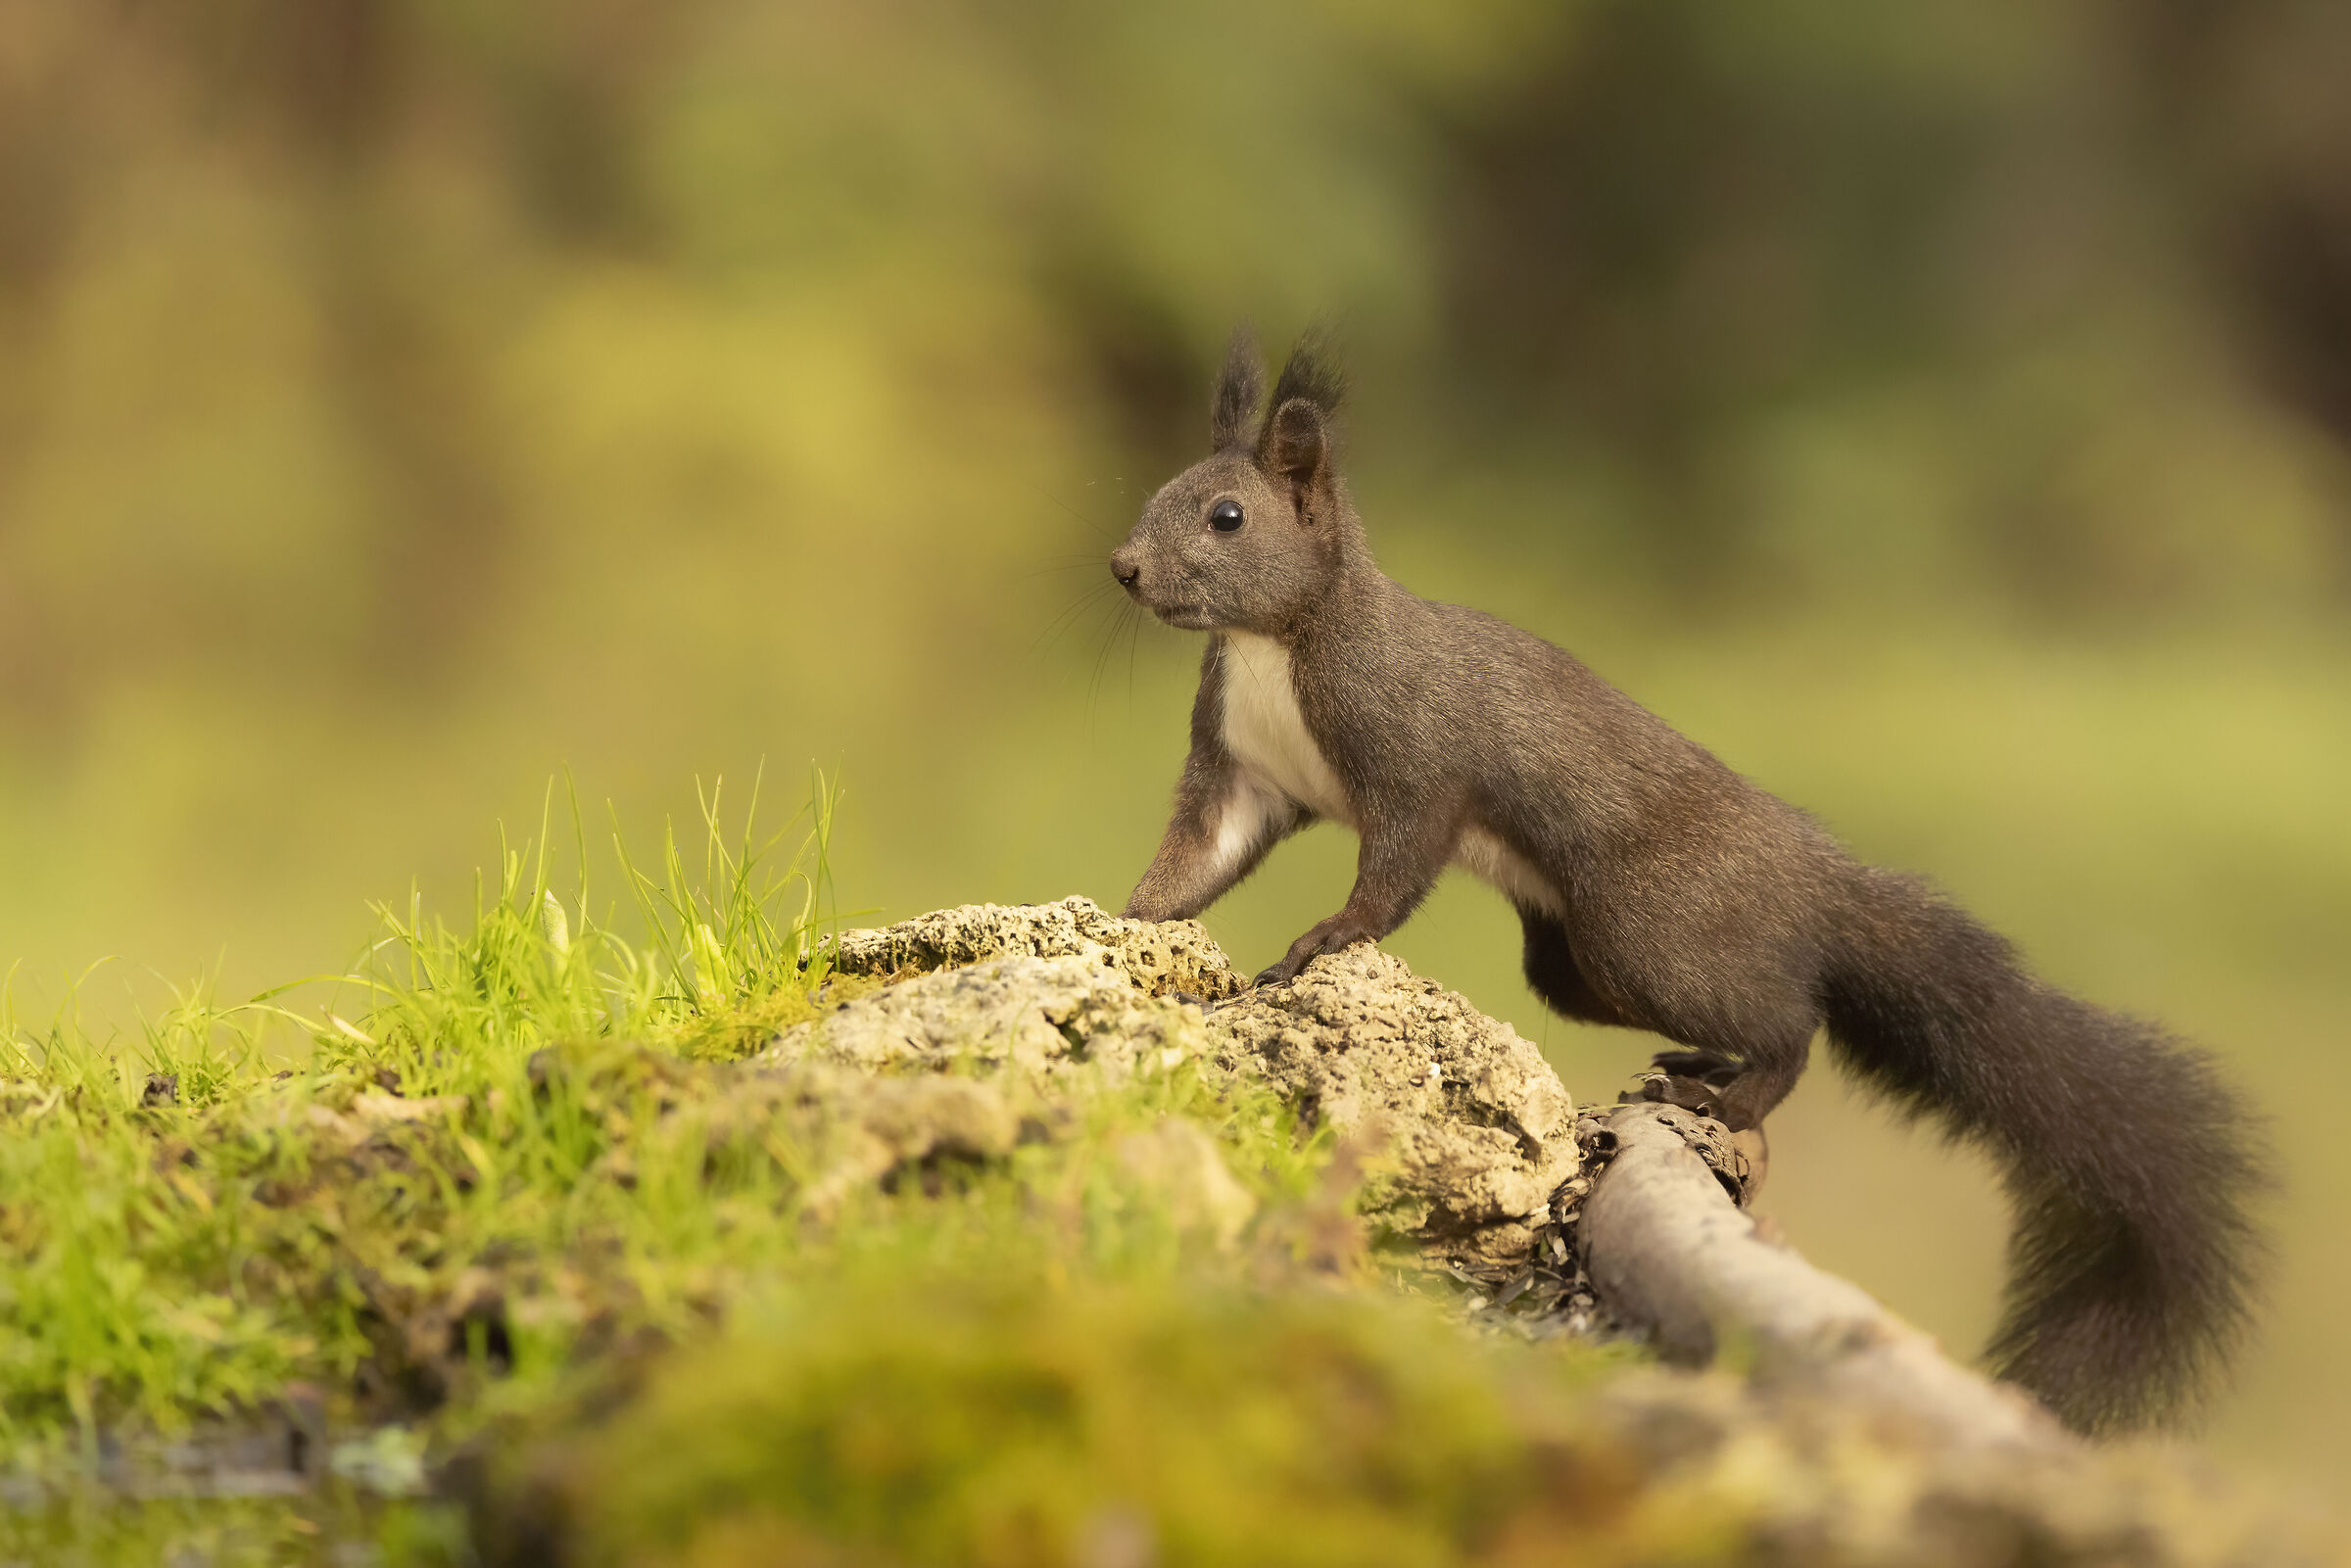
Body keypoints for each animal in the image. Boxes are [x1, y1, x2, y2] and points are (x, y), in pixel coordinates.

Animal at [1109, 328, 2266, 1435]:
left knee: (1793, 1022)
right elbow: (1196, 856)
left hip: (1648, 929)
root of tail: (1815, 877)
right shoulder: (1244, 775)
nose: (1122, 567)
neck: (1275, 642)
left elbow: (1395, 863)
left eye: (1226, 516)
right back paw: (1699, 1067)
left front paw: (1326, 936)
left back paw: (1733, 1088)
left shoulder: (1413, 755)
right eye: (1164, 491)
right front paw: (1128, 917)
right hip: (1580, 963)